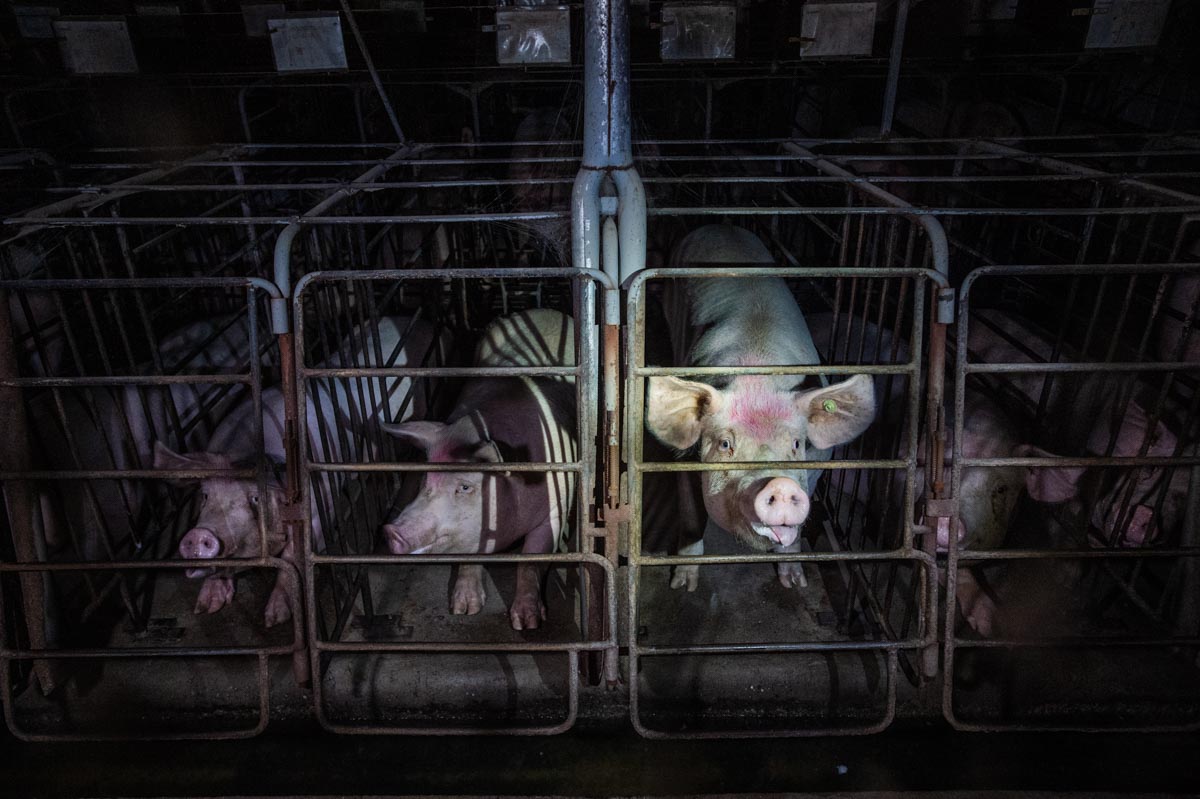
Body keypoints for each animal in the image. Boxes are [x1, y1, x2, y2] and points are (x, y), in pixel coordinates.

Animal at [154, 314, 441, 623]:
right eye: (205, 495)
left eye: (255, 498)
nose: (198, 536)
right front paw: (206, 607)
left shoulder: (318, 506)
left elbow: (293, 556)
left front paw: (275, 618)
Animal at [379, 307, 576, 633]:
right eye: (424, 478)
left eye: (465, 487)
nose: (392, 531)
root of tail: (540, 310)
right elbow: (469, 557)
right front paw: (463, 610)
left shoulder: (556, 504)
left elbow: (530, 561)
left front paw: (526, 623)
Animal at [648, 224, 873, 590]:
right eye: (726, 444)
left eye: (795, 444)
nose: (779, 485)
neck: (759, 377)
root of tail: (719, 225)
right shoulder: (683, 459)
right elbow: (692, 517)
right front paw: (682, 585)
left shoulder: (818, 461)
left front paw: (795, 583)